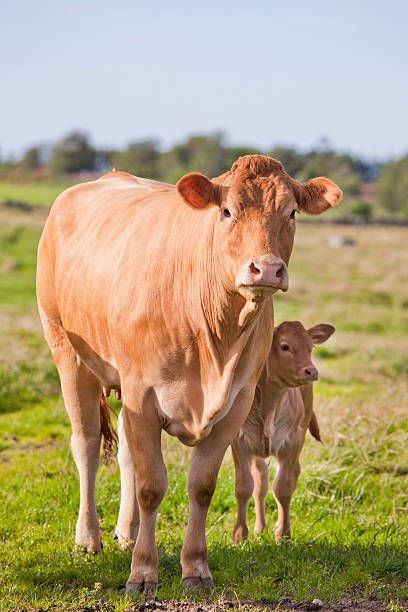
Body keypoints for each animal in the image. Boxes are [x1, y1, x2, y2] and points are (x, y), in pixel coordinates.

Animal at [233, 320, 334, 540]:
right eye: (285, 346)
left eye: (311, 347)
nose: (311, 371)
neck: (269, 404)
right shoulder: (239, 441)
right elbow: (244, 487)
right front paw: (240, 534)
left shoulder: (292, 442)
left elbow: (283, 488)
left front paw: (283, 534)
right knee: (260, 482)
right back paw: (260, 528)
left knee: (291, 475)